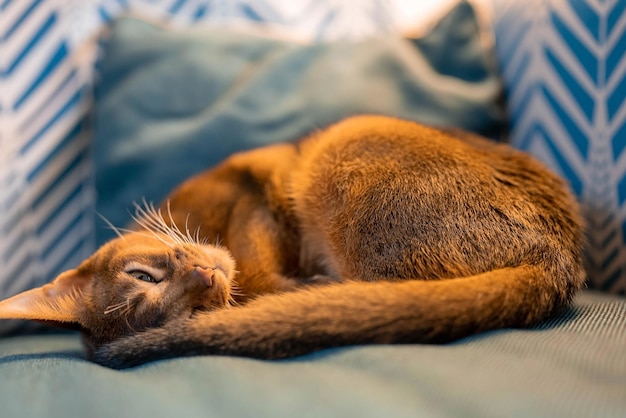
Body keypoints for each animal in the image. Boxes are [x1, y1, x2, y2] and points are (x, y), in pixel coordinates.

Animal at [0, 116, 584, 368]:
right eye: (188, 313)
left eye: (143, 274)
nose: (205, 276)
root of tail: (557, 257)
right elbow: (263, 283)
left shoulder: (249, 197)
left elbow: (257, 261)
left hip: (341, 144)